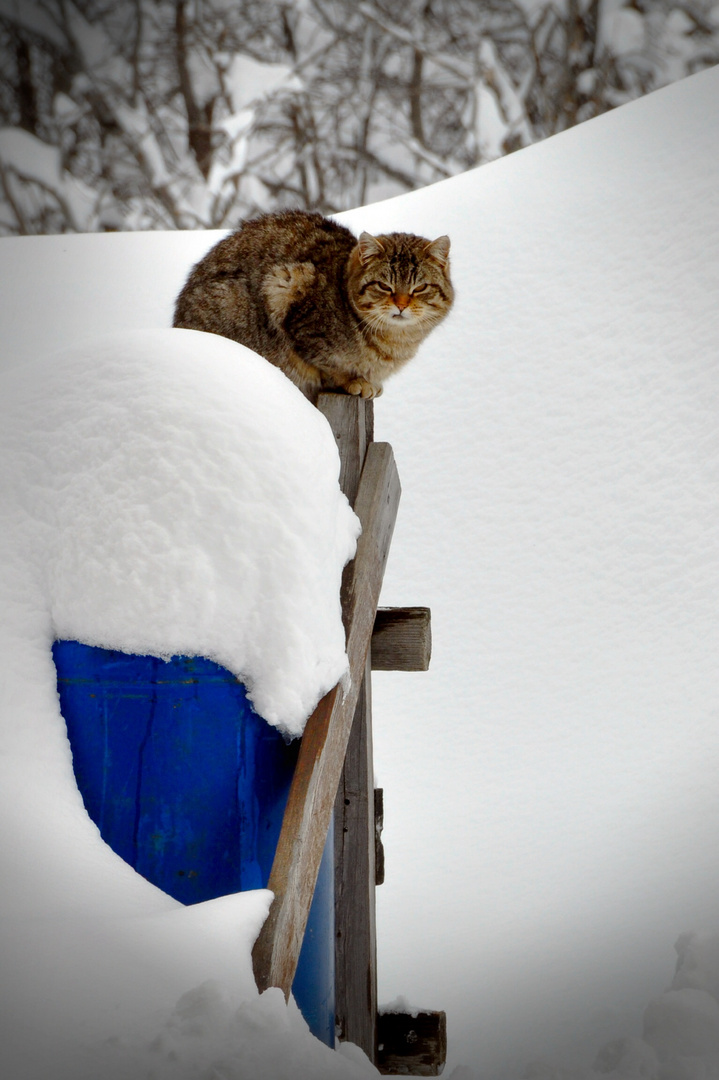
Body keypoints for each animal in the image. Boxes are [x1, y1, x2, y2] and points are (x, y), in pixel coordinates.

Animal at [172, 208, 451, 403]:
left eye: (419, 288)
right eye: (384, 286)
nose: (401, 305)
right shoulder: (287, 288)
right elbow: (327, 364)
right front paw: (353, 381)